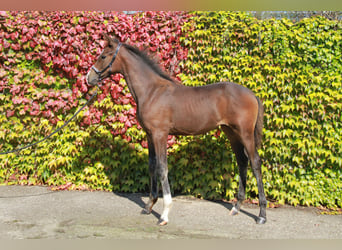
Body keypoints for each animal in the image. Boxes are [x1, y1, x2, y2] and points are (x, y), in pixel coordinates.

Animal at [86, 33, 268, 225]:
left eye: (103, 56)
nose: (89, 78)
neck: (151, 91)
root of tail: (252, 94)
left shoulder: (160, 134)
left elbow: (162, 167)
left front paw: (164, 214)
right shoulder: (150, 135)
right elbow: (152, 165)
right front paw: (148, 206)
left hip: (245, 134)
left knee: (255, 163)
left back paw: (262, 215)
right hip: (231, 133)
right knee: (242, 162)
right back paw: (236, 207)